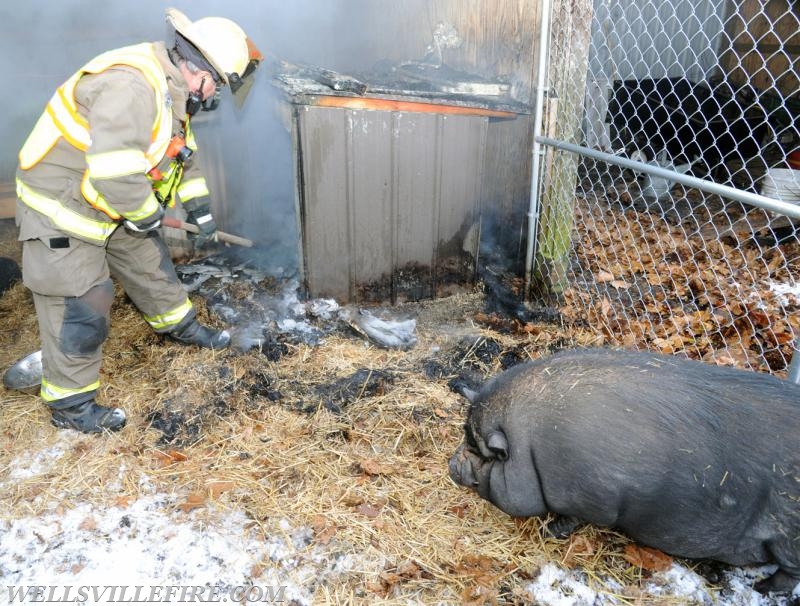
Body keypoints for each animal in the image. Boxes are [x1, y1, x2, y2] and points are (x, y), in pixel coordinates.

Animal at [446, 350, 800, 596]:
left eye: (478, 451)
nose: (451, 465)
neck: (532, 448)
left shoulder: (589, 499)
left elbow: (573, 519)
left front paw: (550, 532)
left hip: (789, 535)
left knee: (789, 574)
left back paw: (761, 588)